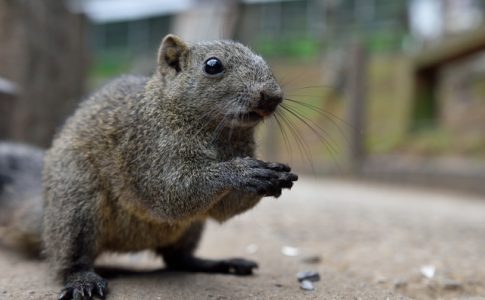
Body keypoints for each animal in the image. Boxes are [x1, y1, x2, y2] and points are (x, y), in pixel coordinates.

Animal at [0, 34, 296, 298]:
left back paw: (218, 263)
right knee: (68, 259)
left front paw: (273, 177)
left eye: (263, 59)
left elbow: (223, 210)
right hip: (75, 202)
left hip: (190, 228)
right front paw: (242, 172)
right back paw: (82, 279)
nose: (273, 96)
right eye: (212, 65)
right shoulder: (146, 151)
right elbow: (168, 193)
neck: (221, 134)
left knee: (178, 259)